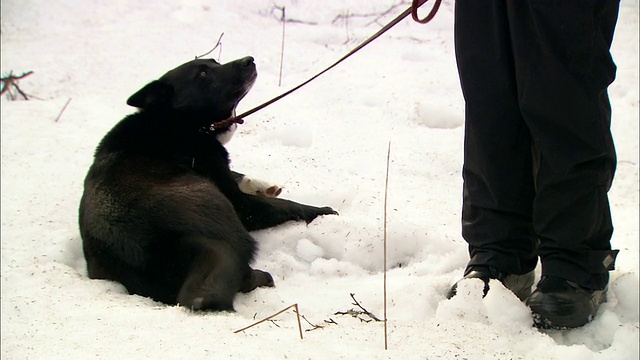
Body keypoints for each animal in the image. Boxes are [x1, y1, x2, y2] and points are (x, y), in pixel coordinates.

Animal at [78, 56, 338, 310]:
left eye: (215, 62)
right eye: (202, 73)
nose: (249, 60)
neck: (177, 123)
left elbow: (240, 175)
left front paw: (263, 185)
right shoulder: (238, 202)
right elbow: (285, 205)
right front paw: (322, 211)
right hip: (214, 204)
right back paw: (262, 278)